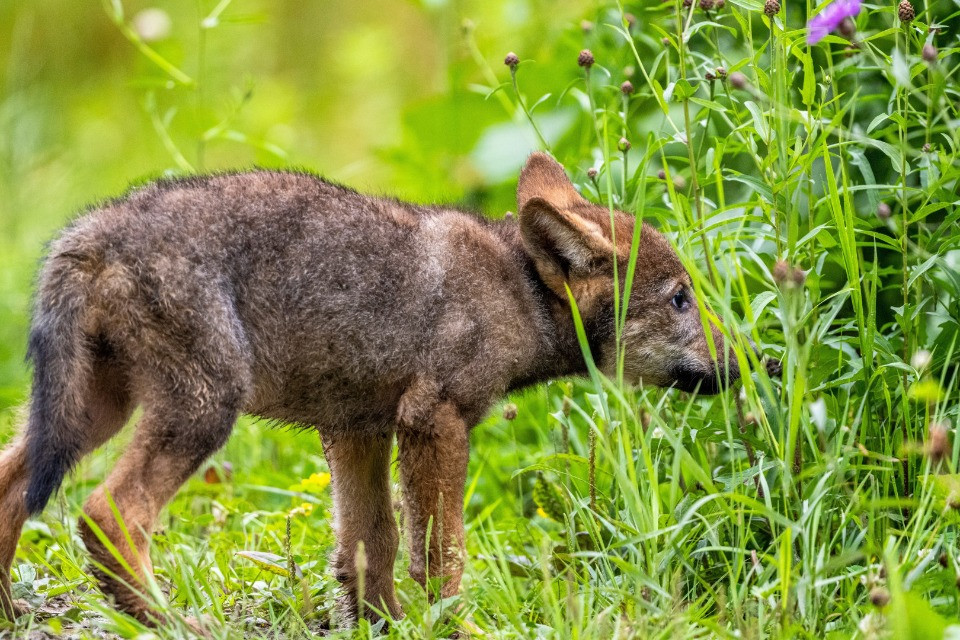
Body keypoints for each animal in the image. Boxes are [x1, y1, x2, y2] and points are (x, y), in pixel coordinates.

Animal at [0, 152, 740, 627]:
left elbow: (369, 547)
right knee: (108, 513)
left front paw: (381, 624)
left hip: (93, 412)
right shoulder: (433, 420)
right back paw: (172, 622)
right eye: (680, 299)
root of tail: (96, 228)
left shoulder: (357, 429)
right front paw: (451, 627)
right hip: (200, 411)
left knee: (12, 485)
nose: (746, 364)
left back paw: (10, 611)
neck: (518, 290)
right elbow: (439, 557)